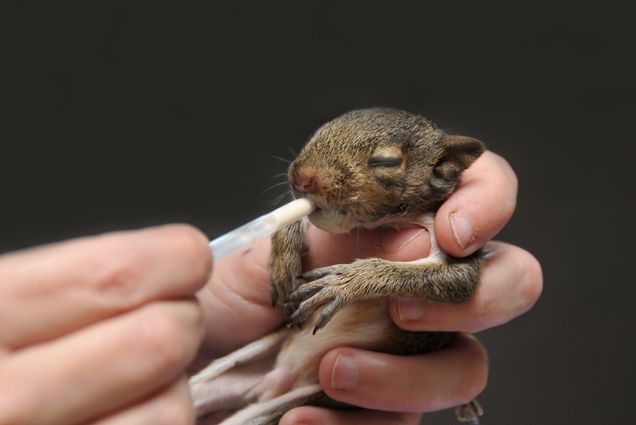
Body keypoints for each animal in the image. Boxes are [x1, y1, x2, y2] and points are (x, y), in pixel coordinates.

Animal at [191, 108, 484, 424]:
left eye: (386, 162)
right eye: (316, 134)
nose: (300, 179)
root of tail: (274, 381)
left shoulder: (459, 252)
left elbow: (445, 279)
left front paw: (344, 282)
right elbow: (291, 214)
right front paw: (284, 252)